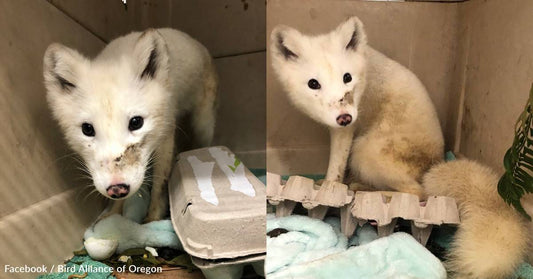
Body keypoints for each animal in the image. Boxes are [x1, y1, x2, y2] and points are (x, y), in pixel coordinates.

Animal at [43, 29, 217, 223]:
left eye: (136, 122)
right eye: (87, 129)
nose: (117, 188)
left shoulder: (166, 137)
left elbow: (159, 186)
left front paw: (152, 219)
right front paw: (114, 213)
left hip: (203, 125)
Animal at [272, 17, 442, 199]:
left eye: (347, 77)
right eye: (313, 84)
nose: (345, 118)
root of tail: (436, 160)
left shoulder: (345, 131)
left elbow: (335, 168)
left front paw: (328, 188)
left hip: (363, 152)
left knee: (418, 193)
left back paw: (364, 190)